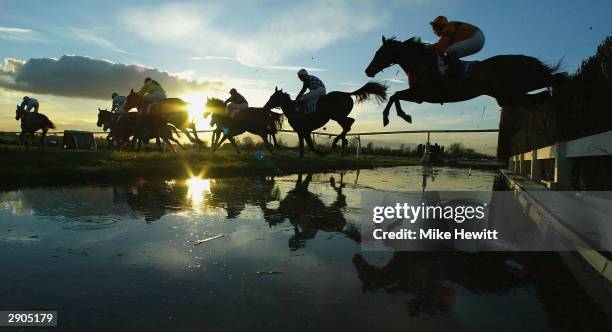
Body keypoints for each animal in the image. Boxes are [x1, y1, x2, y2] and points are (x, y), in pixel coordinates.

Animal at [364, 36, 568, 126]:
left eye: (379, 53)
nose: (368, 70)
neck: (421, 63)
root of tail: (523, 58)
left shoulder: (421, 95)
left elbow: (395, 96)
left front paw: (396, 117)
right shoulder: (419, 95)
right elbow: (395, 96)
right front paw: (400, 116)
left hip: (518, 87)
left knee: (551, 81)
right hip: (508, 95)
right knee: (541, 93)